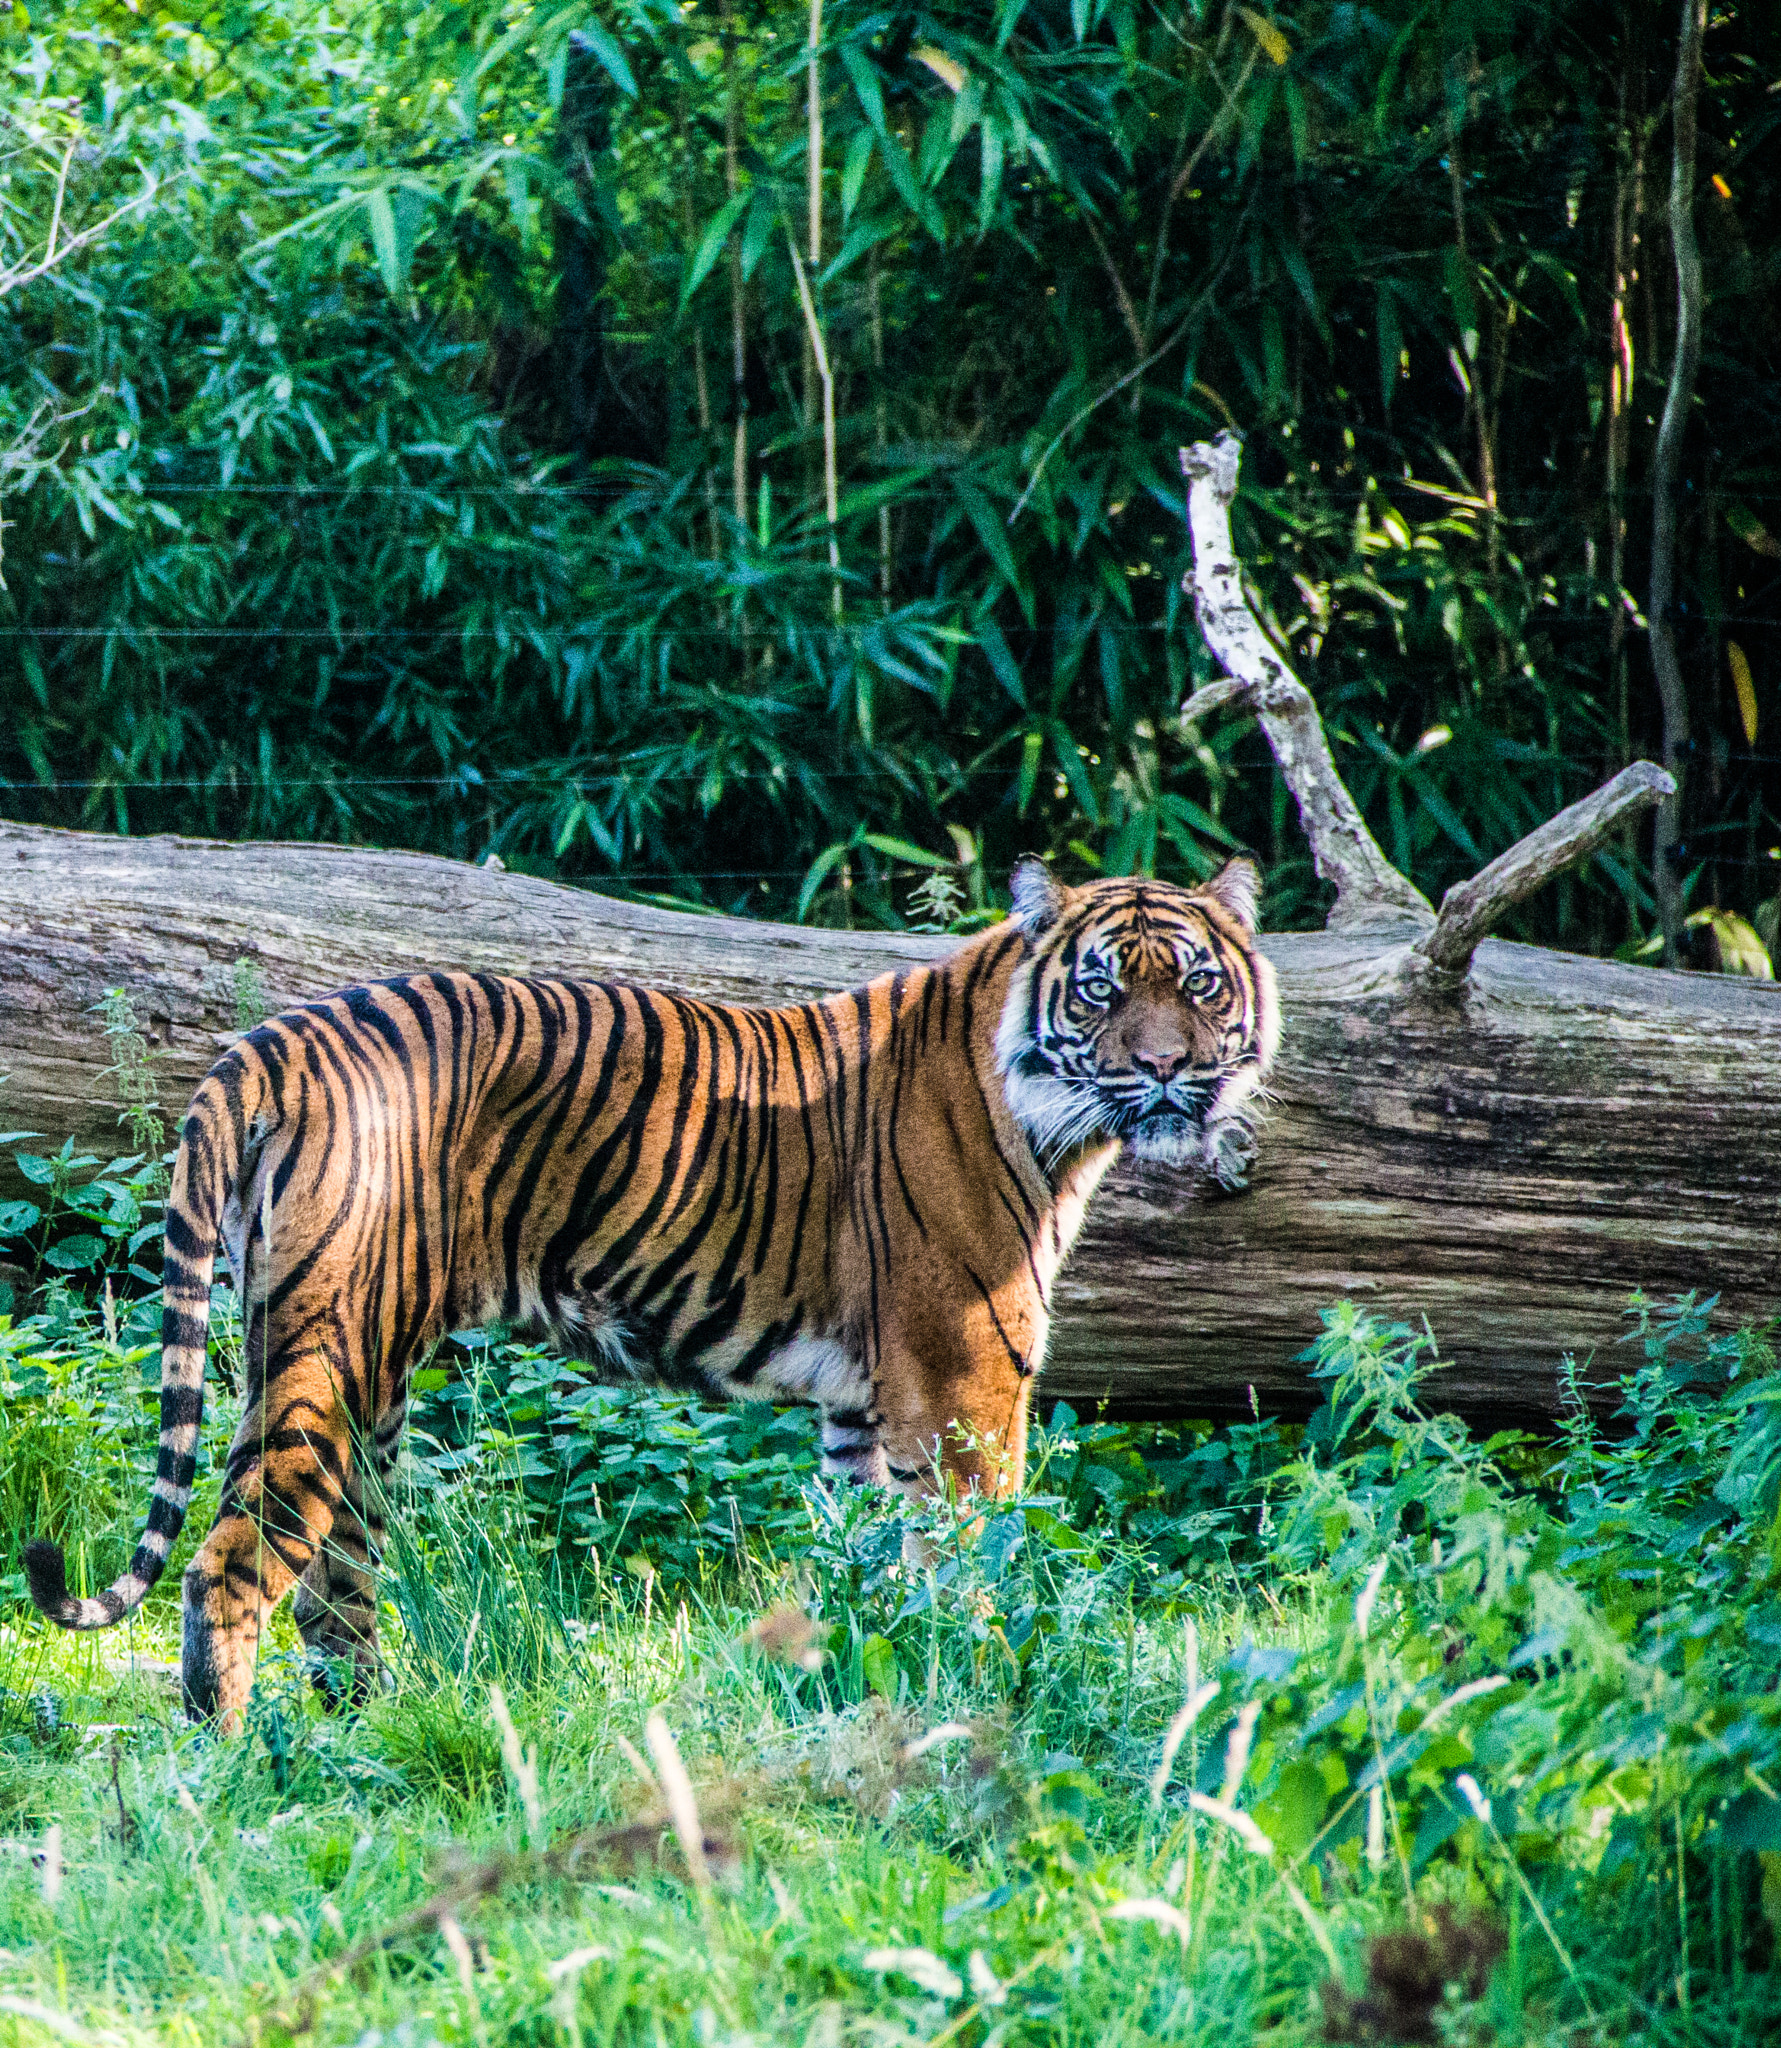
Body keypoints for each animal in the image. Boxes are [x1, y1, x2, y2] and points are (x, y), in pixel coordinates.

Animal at [25, 856, 1278, 1729]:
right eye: (1101, 988)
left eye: (1198, 982)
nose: (1167, 1067)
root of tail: (269, 1040)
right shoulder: (962, 1376)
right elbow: (980, 1561)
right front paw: (983, 1690)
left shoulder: (862, 1402)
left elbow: (866, 1567)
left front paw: (864, 1696)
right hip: (331, 1355)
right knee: (233, 1564)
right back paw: (233, 1764)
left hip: (342, 1374)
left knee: (335, 1581)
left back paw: (358, 1743)